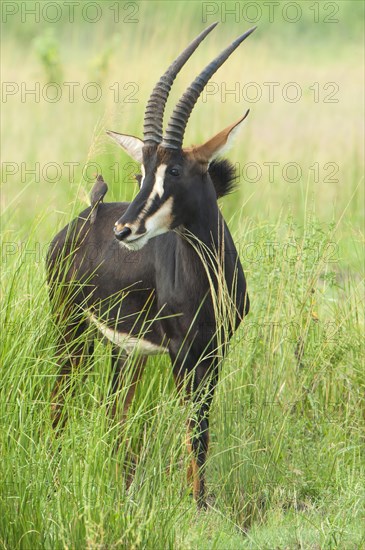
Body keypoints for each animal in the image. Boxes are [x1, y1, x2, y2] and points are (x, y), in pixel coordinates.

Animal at [47, 23, 253, 512]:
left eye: (173, 171)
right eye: (141, 173)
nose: (124, 229)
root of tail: (84, 218)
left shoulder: (214, 350)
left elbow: (201, 428)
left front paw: (201, 502)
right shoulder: (181, 351)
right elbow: (194, 430)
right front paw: (196, 506)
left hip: (126, 351)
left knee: (114, 413)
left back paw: (123, 488)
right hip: (71, 331)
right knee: (59, 401)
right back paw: (55, 478)